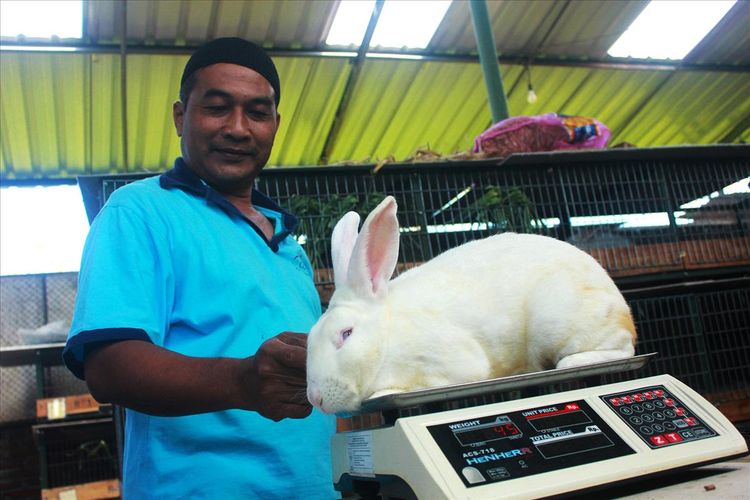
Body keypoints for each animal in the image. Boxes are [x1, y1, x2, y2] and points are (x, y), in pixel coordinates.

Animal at [308, 195, 636, 414]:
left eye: (346, 334)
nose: (315, 398)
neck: (387, 338)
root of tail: (626, 311)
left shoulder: (449, 364)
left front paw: (383, 392)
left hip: (562, 324)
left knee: (621, 350)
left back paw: (574, 362)